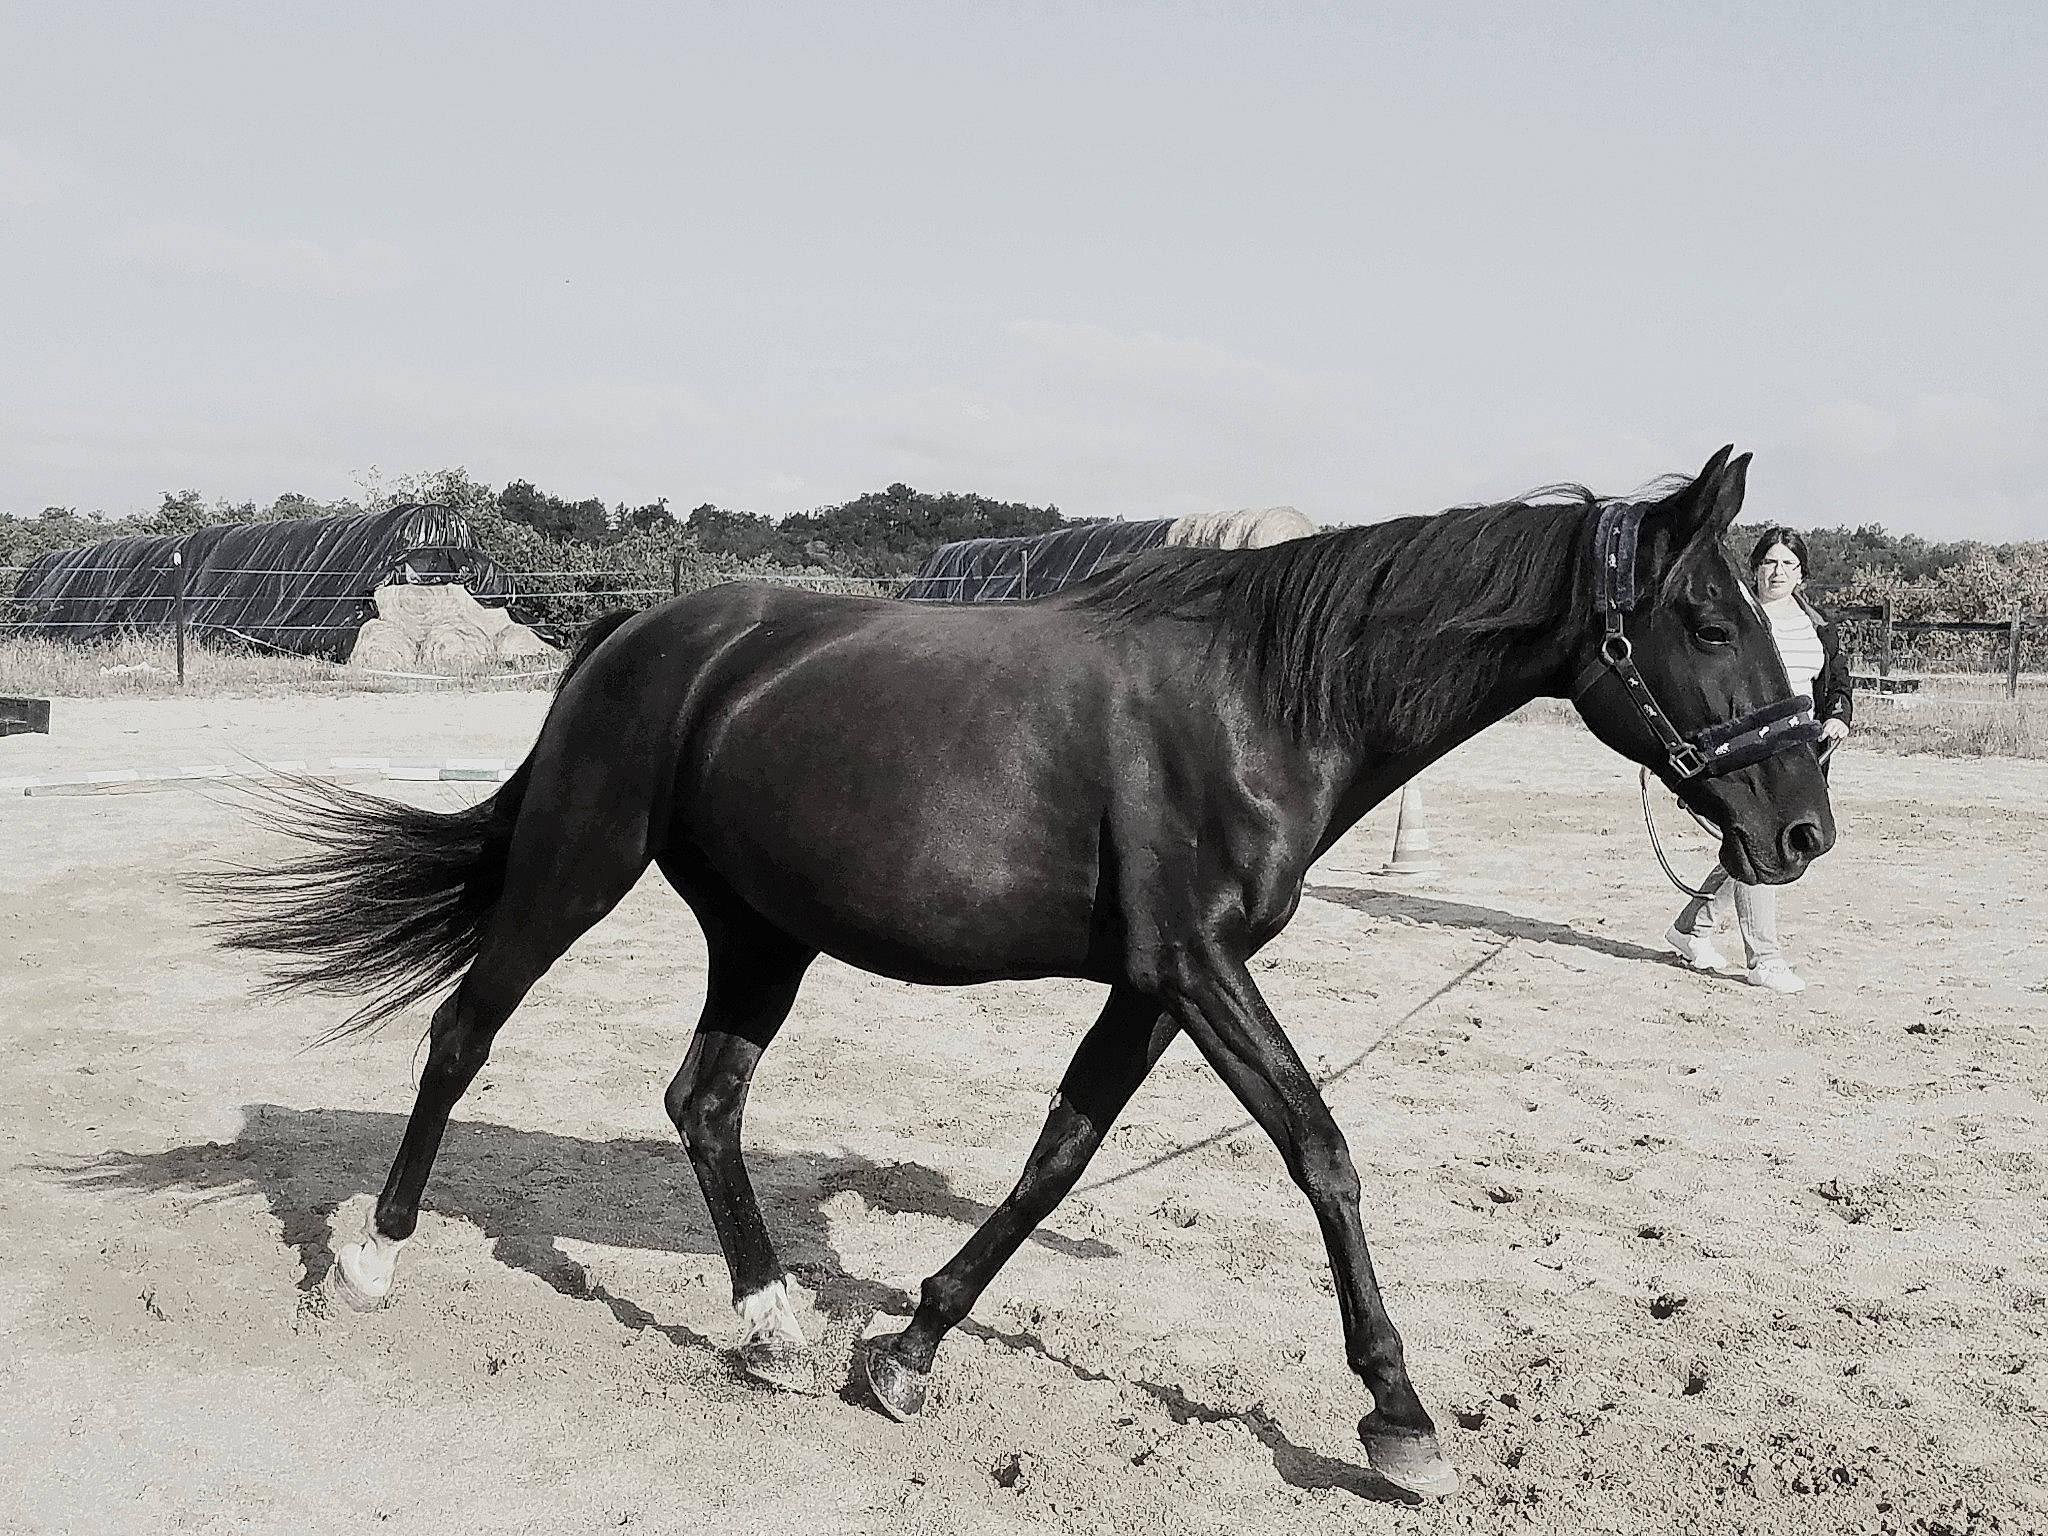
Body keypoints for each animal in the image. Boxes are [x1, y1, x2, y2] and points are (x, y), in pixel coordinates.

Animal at [208, 446, 1833, 1498]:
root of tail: (639, 629)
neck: (1256, 701)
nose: (1798, 828)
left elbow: (1059, 1156)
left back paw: (775, 1327)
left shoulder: (1153, 986)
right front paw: (1398, 1417)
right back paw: (370, 1262)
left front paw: (904, 1351)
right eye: (1706, 619)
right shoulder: (1198, 969)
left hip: (763, 933)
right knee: (463, 1034)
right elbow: (1319, 1148)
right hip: (576, 866)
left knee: (703, 1101)